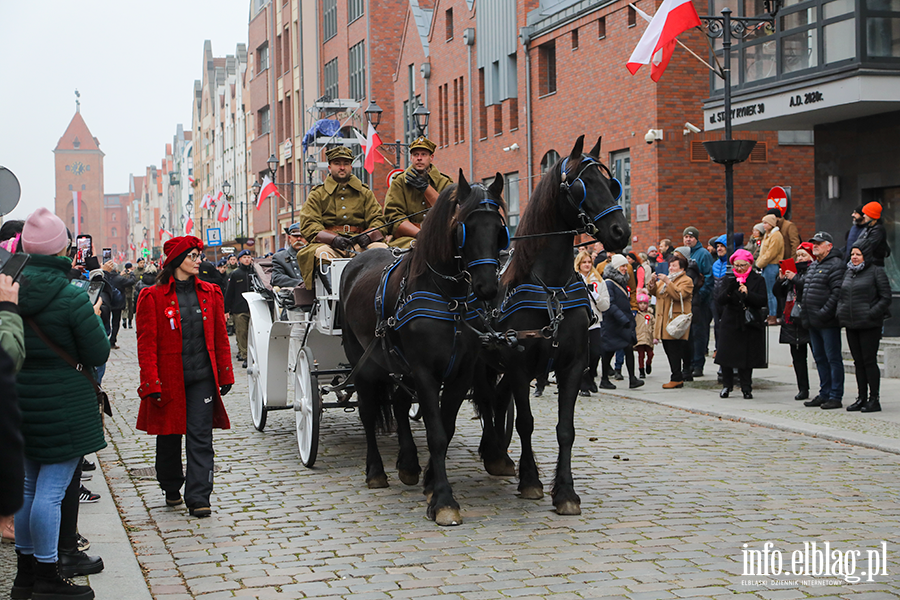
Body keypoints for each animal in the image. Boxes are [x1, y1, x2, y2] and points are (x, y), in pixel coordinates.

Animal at [340, 170, 506, 524]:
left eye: (500, 229)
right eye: (464, 226)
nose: (488, 287)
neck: (448, 297)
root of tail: (356, 260)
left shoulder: (461, 372)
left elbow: (446, 425)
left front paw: (431, 483)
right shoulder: (425, 371)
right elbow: (436, 433)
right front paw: (444, 499)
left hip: (396, 363)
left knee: (400, 404)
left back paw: (408, 464)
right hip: (362, 362)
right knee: (368, 412)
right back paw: (376, 471)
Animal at [474, 136, 628, 516]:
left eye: (612, 184)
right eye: (581, 185)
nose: (621, 231)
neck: (551, 289)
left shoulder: (572, 365)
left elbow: (565, 429)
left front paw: (566, 492)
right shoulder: (518, 365)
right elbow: (526, 423)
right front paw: (531, 481)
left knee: (497, 401)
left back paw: (498, 454)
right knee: (486, 400)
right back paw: (494, 452)